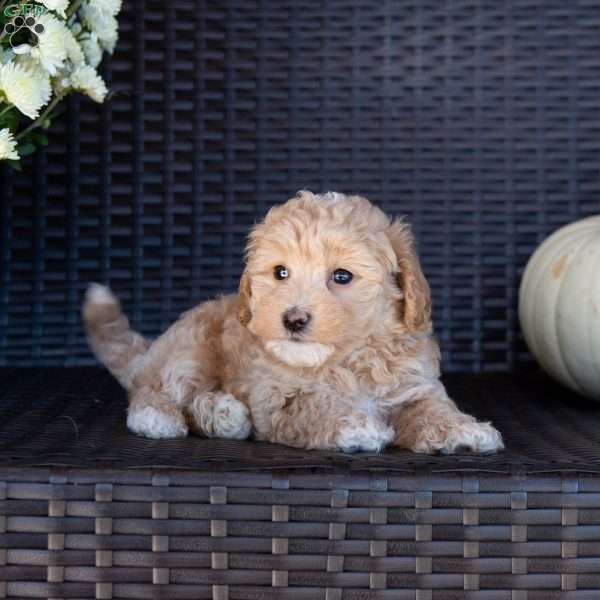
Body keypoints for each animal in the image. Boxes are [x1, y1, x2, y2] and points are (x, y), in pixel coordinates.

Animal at [84, 193, 504, 454]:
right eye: (280, 272)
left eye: (342, 277)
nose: (293, 318)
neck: (348, 359)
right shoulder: (277, 397)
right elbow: (316, 406)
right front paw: (356, 425)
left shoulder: (414, 387)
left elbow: (432, 409)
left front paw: (464, 430)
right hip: (191, 348)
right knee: (155, 390)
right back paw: (165, 417)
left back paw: (223, 414)